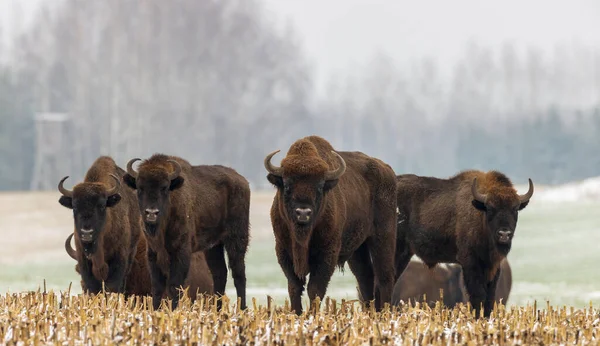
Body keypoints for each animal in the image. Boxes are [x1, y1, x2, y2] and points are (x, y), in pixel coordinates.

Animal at [58, 157, 143, 294]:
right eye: (74, 207)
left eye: (102, 206)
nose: (87, 233)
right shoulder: (84, 261)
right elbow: (93, 287)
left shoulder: (119, 259)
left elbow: (113, 286)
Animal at [123, 154, 250, 310]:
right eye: (140, 188)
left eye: (164, 187)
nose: (151, 213)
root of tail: (242, 181)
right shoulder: (153, 253)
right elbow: (157, 287)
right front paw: (156, 309)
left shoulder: (181, 252)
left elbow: (174, 286)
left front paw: (173, 309)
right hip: (214, 246)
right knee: (220, 273)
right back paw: (218, 309)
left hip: (236, 238)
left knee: (239, 273)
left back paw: (242, 309)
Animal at [264, 135, 398, 314]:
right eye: (286, 185)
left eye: (320, 186)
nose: (303, 213)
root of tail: (388, 171)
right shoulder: (283, 251)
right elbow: (294, 287)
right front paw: (297, 313)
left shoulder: (327, 253)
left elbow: (315, 289)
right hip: (358, 249)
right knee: (365, 276)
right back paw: (370, 312)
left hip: (383, 237)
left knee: (384, 275)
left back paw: (385, 312)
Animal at [396, 170, 532, 316]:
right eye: (490, 208)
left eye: (515, 208)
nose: (504, 234)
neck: (480, 213)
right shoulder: (470, 264)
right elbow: (478, 295)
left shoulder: (493, 267)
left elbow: (490, 297)